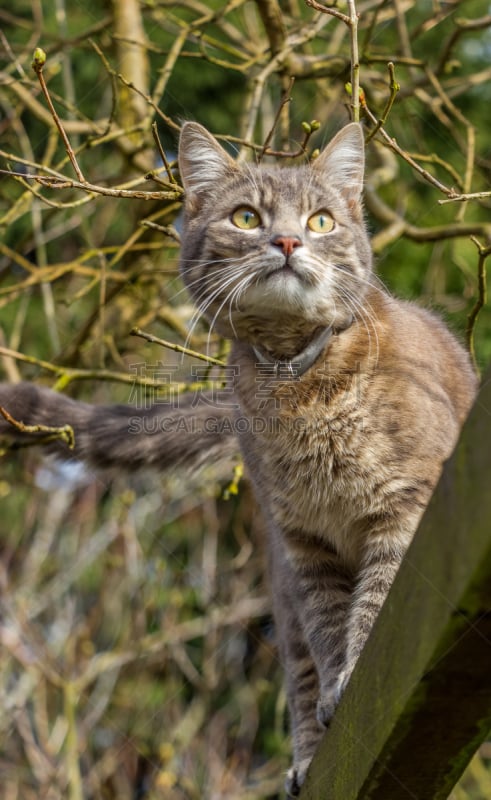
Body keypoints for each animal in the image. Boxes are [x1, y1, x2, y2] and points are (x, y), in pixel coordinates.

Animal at [0, 122, 478, 796]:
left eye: (321, 220)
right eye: (247, 217)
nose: (287, 239)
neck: (299, 390)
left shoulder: (407, 507)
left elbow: (380, 601)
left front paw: (355, 673)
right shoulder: (306, 546)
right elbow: (328, 631)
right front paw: (335, 696)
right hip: (282, 586)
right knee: (300, 677)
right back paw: (305, 758)